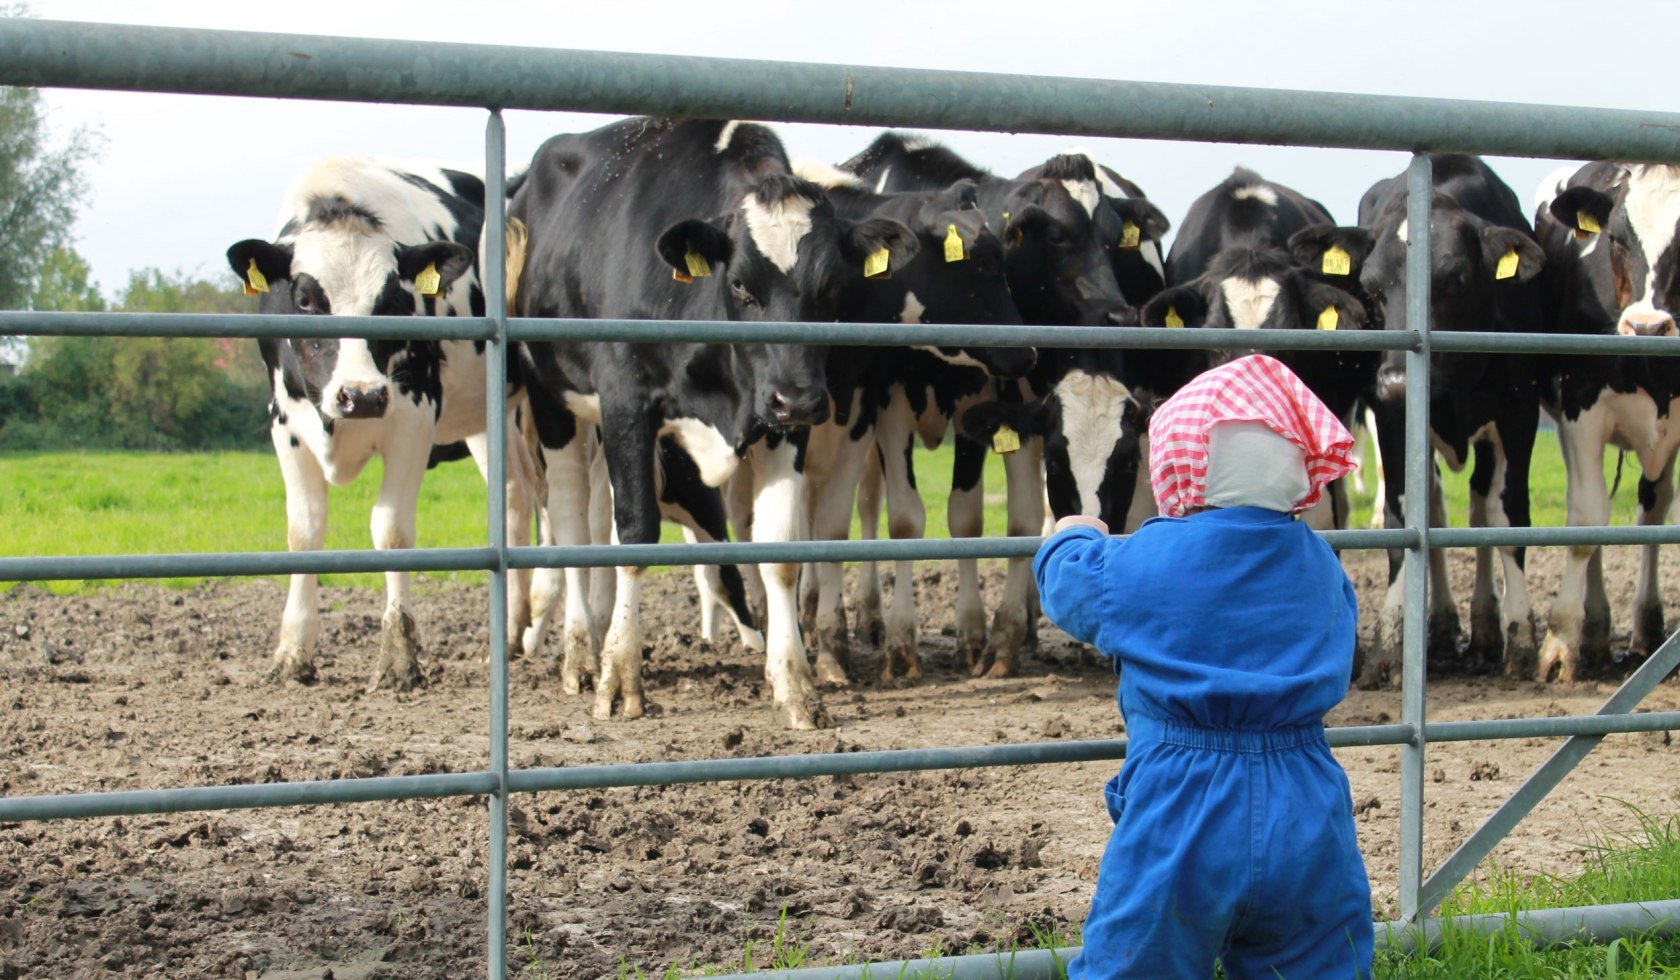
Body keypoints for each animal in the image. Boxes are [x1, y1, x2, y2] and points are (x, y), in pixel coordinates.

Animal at [226, 158, 534, 689]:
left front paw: (399, 657)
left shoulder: (413, 416)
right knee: (518, 499)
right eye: (305, 300)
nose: (363, 395)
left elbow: (391, 532)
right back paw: (515, 635)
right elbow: (303, 532)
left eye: (392, 302)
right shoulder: (284, 422)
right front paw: (293, 652)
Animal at [507, 116, 920, 729]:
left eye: (831, 288)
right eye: (742, 284)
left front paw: (795, 683)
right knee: (570, 517)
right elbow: (635, 531)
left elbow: (779, 548)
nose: (800, 398)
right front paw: (619, 676)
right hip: (553, 400)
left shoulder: (781, 424)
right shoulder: (626, 401)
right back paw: (581, 654)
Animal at [840, 136, 1142, 675]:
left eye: (1113, 237)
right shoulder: (891, 404)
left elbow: (988, 520)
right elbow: (904, 519)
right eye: (1057, 236)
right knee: (868, 502)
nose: (1120, 313)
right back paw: (869, 618)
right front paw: (902, 641)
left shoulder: (989, 401)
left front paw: (988, 635)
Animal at [1350, 155, 1545, 689]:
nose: (1398, 380)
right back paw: (1438, 624)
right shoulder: (1392, 418)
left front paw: (1520, 632)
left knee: (1479, 505)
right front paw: (1392, 639)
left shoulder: (1519, 412)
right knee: (1435, 505)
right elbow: (1402, 516)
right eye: (1371, 290)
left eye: (1454, 279)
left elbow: (1509, 514)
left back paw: (1484, 626)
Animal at [1532, 163, 1680, 682]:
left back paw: (1646, 630)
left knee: (1653, 508)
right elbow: (1585, 520)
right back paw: (1593, 631)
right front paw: (1560, 642)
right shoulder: (1581, 406)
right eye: (1615, 238)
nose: (1649, 327)